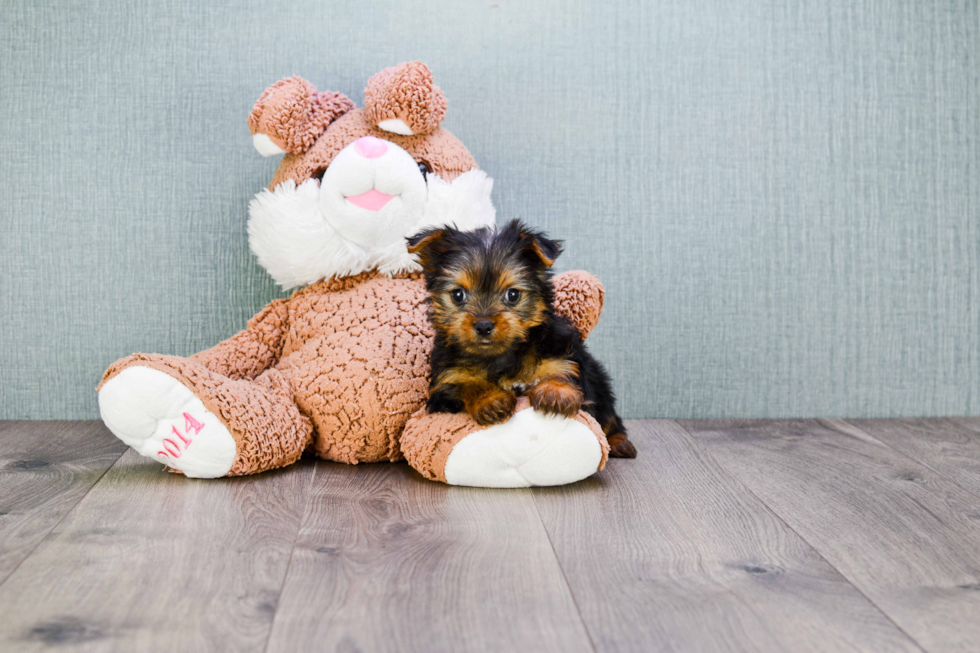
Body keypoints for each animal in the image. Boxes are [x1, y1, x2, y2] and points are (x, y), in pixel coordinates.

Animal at [404, 219, 636, 458]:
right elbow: (466, 383)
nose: (484, 325)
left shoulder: (561, 349)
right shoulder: (445, 381)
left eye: (513, 295)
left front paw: (555, 391)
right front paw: (490, 399)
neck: (501, 355)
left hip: (601, 384)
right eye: (458, 295)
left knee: (609, 416)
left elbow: (561, 368)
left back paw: (619, 442)